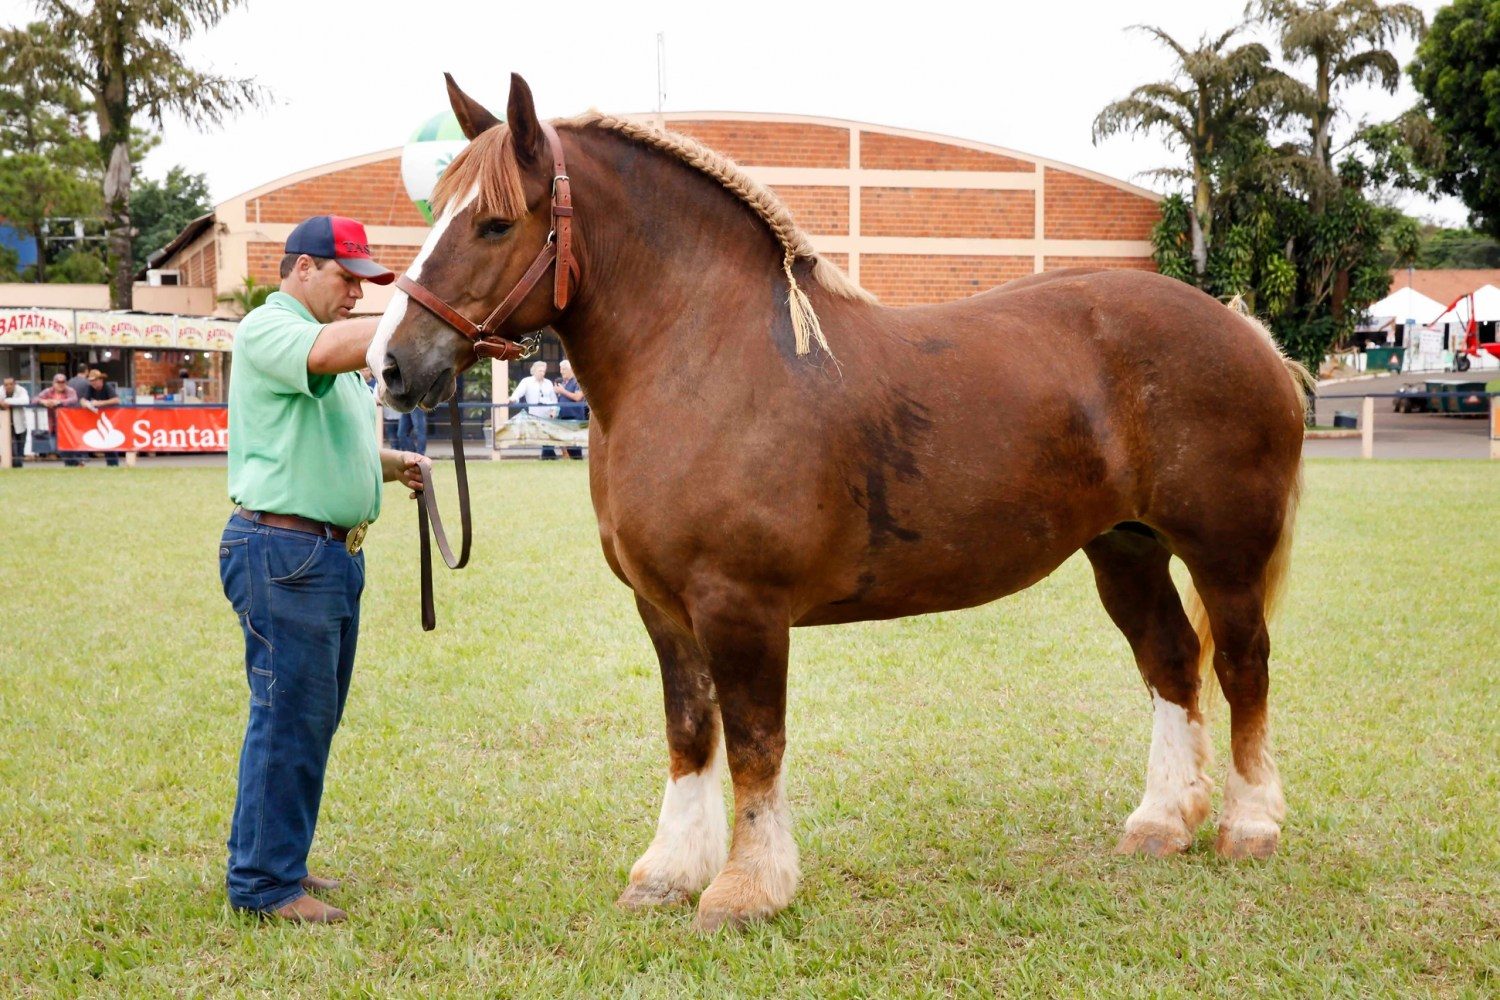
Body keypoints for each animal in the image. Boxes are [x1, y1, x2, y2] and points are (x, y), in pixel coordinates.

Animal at [375, 74, 1314, 935]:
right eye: (438, 208)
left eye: (495, 222)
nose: (390, 366)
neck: (705, 356)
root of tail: (1246, 331)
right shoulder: (664, 608)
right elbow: (691, 734)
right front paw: (668, 873)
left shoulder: (742, 607)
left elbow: (756, 745)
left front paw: (746, 889)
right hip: (1126, 548)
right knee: (1171, 663)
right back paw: (1162, 821)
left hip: (1224, 554)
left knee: (1243, 667)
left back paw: (1249, 825)